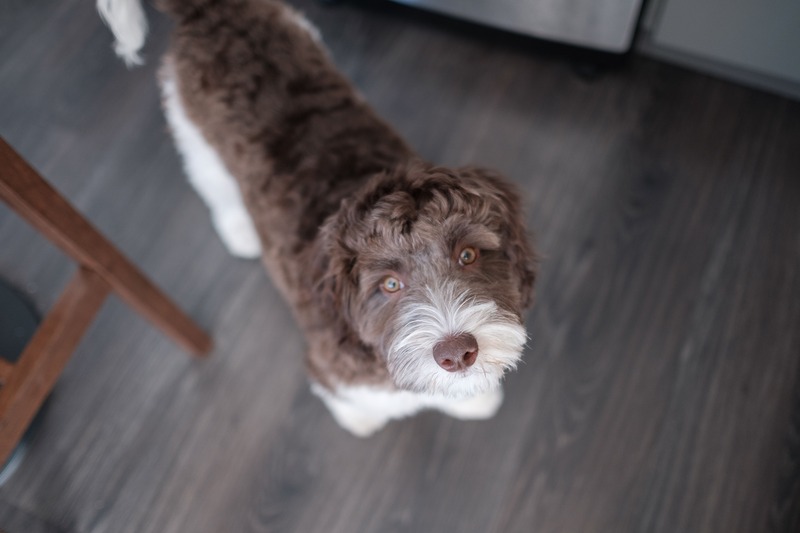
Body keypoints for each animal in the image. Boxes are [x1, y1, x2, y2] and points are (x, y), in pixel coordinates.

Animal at [98, 0, 536, 434]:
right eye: (390, 284)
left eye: (468, 256)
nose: (457, 353)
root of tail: (211, 10)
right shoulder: (330, 370)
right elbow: (353, 404)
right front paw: (360, 419)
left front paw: (475, 400)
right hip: (194, 129)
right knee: (212, 182)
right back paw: (239, 230)